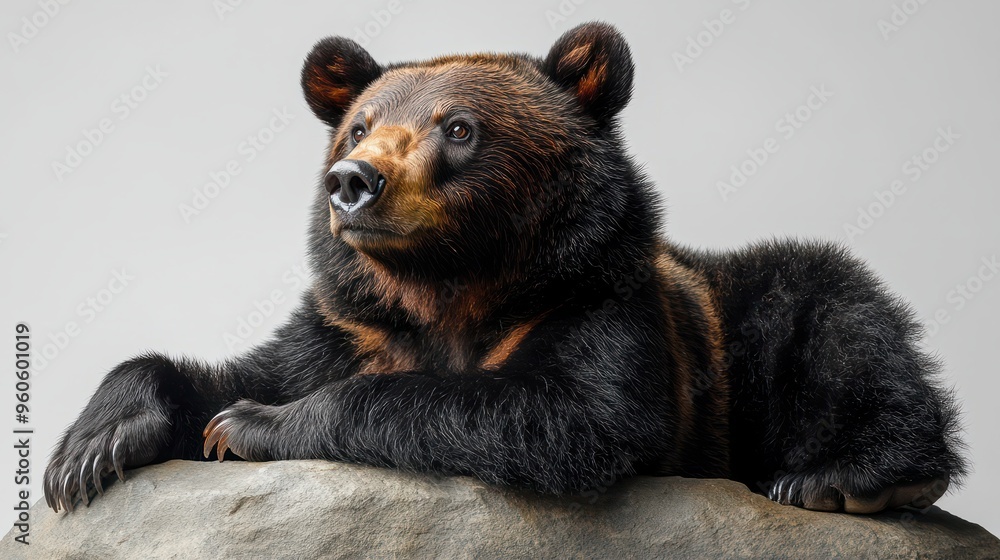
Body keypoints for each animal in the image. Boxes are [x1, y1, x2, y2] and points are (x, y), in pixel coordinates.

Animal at [44, 21, 965, 515]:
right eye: (358, 125)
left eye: (458, 127)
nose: (354, 181)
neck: (448, 284)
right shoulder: (350, 324)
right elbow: (243, 367)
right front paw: (89, 448)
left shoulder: (594, 304)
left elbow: (564, 413)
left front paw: (251, 425)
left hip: (751, 322)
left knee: (842, 317)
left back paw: (846, 479)